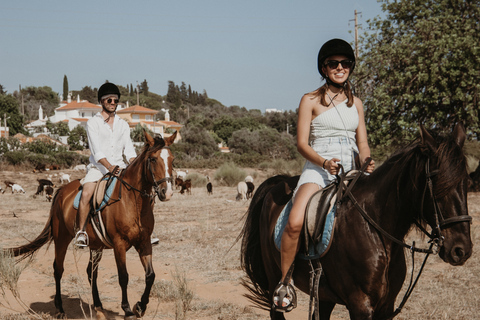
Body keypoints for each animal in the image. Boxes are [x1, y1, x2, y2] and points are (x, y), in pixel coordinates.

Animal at [7, 131, 176, 320]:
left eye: (172, 159)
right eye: (153, 159)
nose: (167, 192)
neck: (132, 202)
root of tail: (62, 190)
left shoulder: (144, 242)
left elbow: (150, 275)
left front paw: (140, 306)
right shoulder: (119, 245)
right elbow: (123, 277)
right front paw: (127, 309)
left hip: (96, 245)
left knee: (91, 272)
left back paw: (99, 307)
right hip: (61, 238)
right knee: (58, 269)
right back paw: (60, 309)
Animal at [240, 123, 472, 320]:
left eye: (466, 181)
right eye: (437, 181)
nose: (461, 250)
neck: (377, 230)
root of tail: (277, 183)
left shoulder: (386, 306)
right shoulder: (360, 304)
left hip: (323, 293)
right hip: (274, 280)